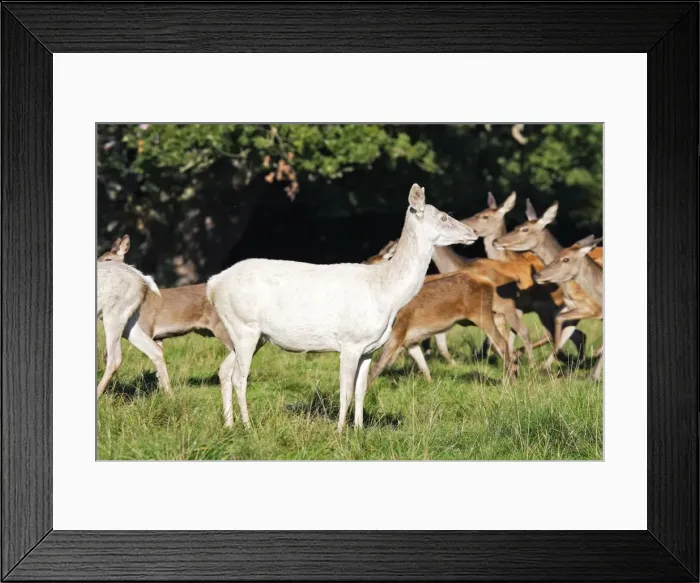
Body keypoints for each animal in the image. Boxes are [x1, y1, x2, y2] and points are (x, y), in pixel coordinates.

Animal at [97, 261, 172, 396]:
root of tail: (142, 279)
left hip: (113, 316)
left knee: (114, 359)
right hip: (129, 320)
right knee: (155, 350)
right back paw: (170, 396)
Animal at [206, 184, 478, 431]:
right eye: (443, 217)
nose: (473, 232)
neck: (388, 295)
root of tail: (214, 284)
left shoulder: (369, 348)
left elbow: (361, 390)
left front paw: (358, 430)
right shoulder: (350, 342)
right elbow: (345, 390)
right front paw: (339, 432)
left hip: (255, 335)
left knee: (223, 369)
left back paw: (229, 424)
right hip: (244, 326)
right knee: (239, 376)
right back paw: (247, 425)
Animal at [368, 269, 516, 384]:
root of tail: (488, 282)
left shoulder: (398, 333)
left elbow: (377, 366)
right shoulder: (410, 341)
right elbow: (423, 365)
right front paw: (431, 384)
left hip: (479, 313)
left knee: (501, 341)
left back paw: (512, 381)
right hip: (468, 319)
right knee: (500, 319)